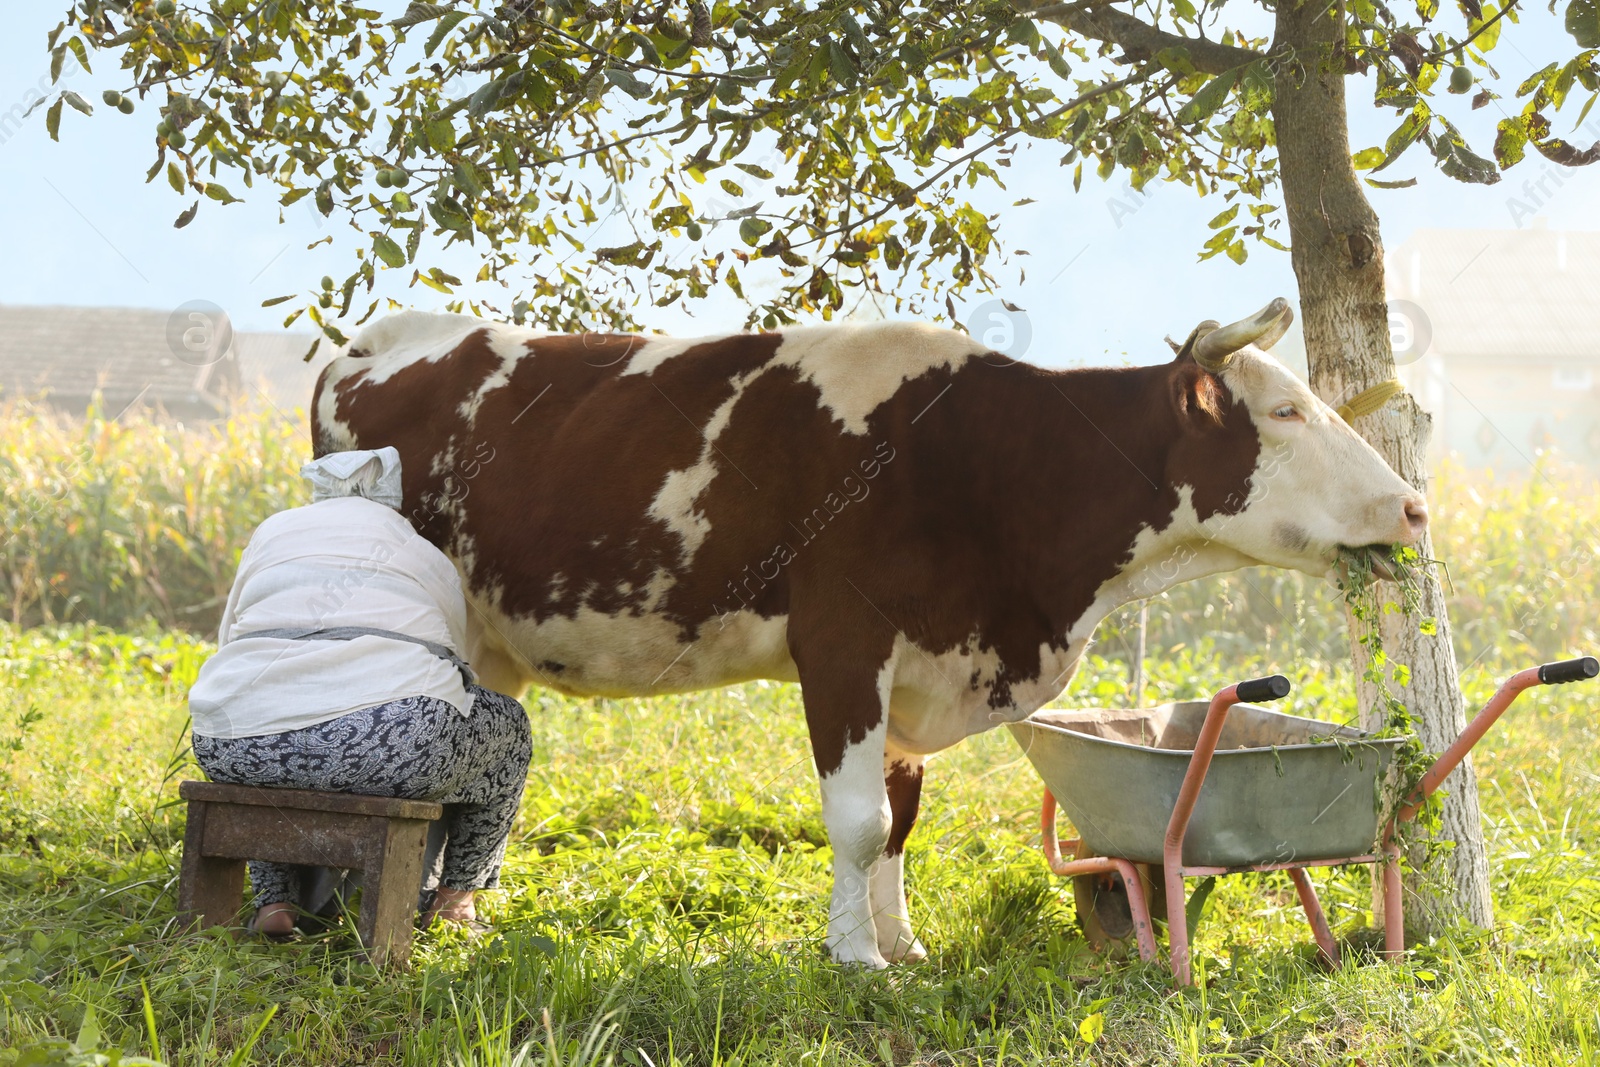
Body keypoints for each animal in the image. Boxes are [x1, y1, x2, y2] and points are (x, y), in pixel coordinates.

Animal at [312, 299, 1427, 966]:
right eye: (1285, 411)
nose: (1414, 507)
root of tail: (375, 336)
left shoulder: (921, 664)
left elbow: (899, 818)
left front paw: (902, 943)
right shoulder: (843, 640)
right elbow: (854, 819)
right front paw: (854, 958)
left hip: (491, 639)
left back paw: (454, 917)